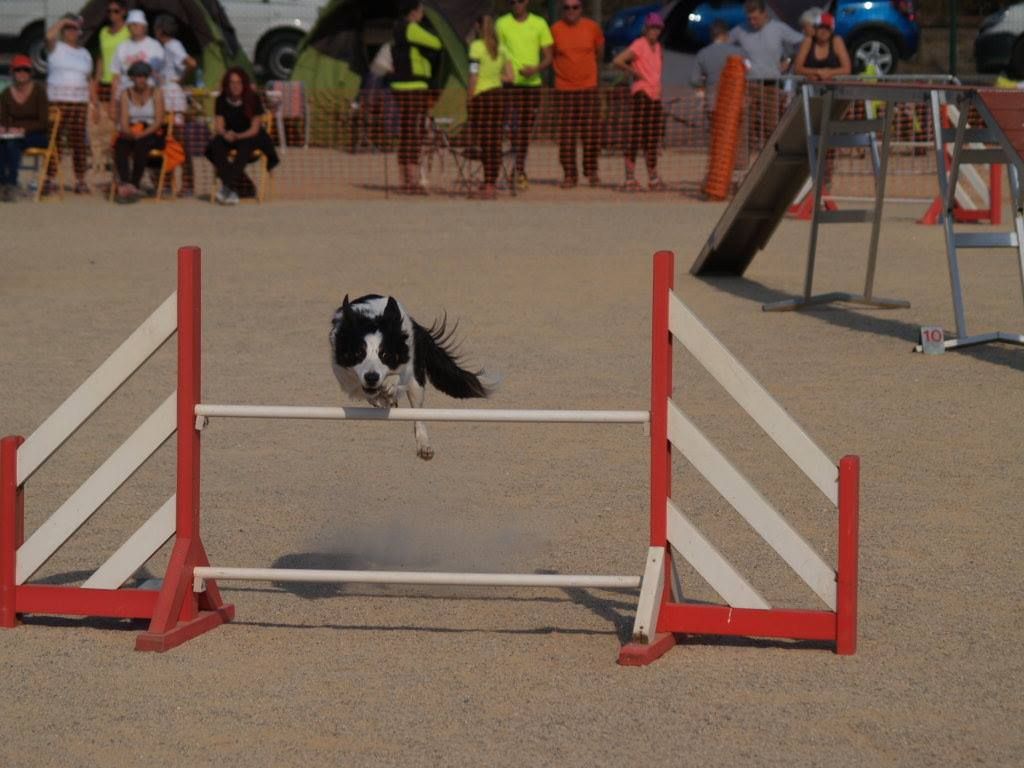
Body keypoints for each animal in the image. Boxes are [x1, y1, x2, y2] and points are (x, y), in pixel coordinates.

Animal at [327, 296, 487, 462]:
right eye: (359, 353)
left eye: (385, 354)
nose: (372, 377)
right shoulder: (342, 372)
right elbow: (360, 386)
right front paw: (381, 397)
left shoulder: (407, 364)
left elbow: (396, 377)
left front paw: (389, 386)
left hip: (417, 384)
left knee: (418, 413)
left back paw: (424, 446)